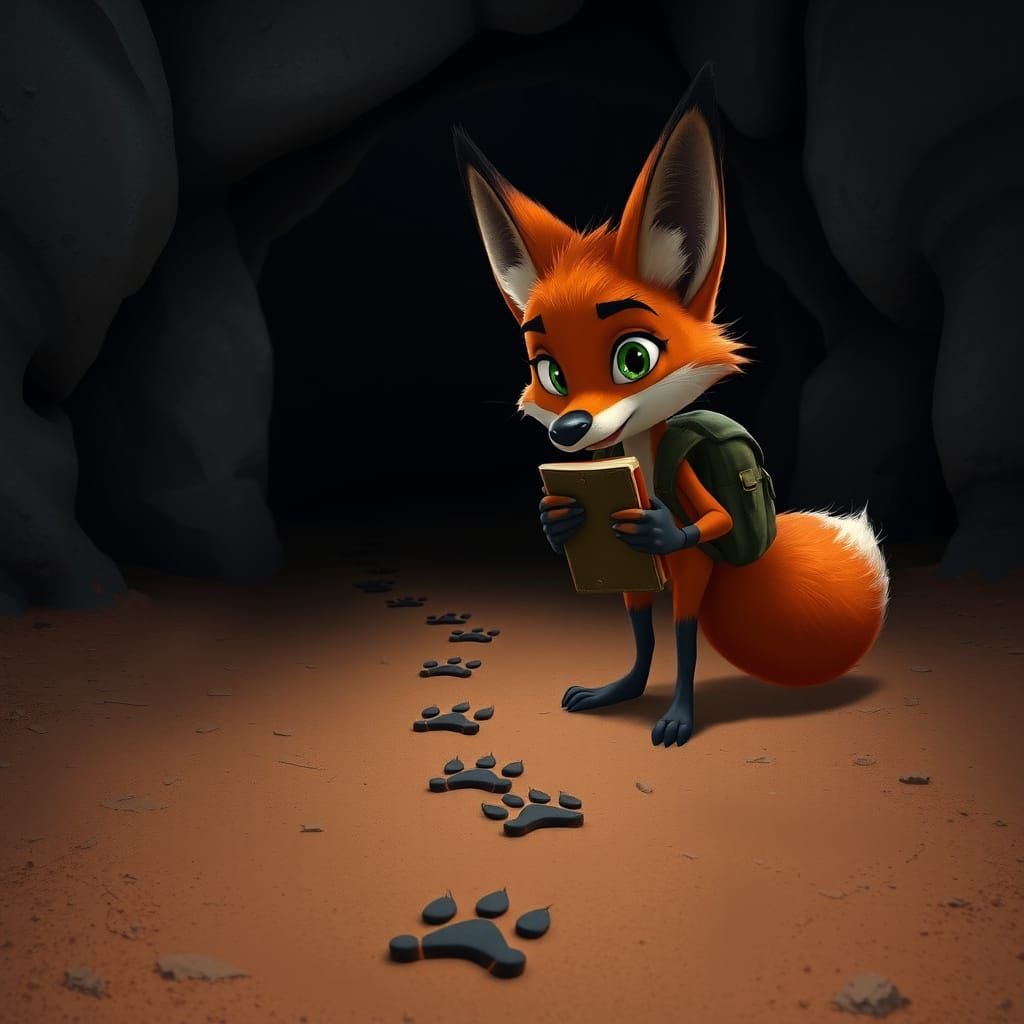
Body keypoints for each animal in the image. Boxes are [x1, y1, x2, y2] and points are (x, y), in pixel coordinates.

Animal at [453, 64, 890, 748]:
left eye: (634, 358)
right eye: (550, 374)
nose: (571, 429)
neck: (637, 450)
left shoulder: (683, 505)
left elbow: (711, 519)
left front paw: (660, 523)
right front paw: (557, 520)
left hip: (688, 576)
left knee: (683, 632)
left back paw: (678, 713)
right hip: (630, 578)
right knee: (639, 623)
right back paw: (623, 689)